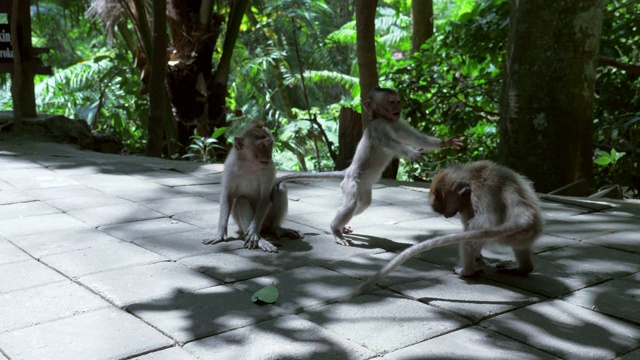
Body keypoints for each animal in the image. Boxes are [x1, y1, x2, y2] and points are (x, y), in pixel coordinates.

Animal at [205, 122, 302, 252]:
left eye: (270, 144)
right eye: (262, 146)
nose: (269, 155)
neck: (250, 163)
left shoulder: (269, 168)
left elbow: (265, 197)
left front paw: (254, 231)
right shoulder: (230, 167)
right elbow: (227, 195)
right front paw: (220, 234)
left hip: (266, 220)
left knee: (280, 188)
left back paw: (274, 229)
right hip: (241, 225)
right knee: (241, 200)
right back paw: (261, 240)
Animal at [276, 87, 460, 246]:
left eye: (398, 101)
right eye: (391, 102)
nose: (398, 106)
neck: (384, 119)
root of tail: (348, 171)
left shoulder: (397, 122)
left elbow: (417, 138)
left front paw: (444, 143)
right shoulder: (378, 127)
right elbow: (391, 144)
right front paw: (412, 153)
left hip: (363, 187)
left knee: (362, 204)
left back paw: (342, 226)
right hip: (350, 185)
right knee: (350, 206)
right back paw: (335, 229)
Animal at [352, 162, 544, 296]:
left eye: (444, 208)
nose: (446, 216)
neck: (469, 175)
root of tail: (524, 214)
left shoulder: (471, 199)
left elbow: (479, 226)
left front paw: (476, 259)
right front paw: (480, 258)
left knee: (475, 231)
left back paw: (467, 272)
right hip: (523, 234)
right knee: (520, 246)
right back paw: (523, 269)